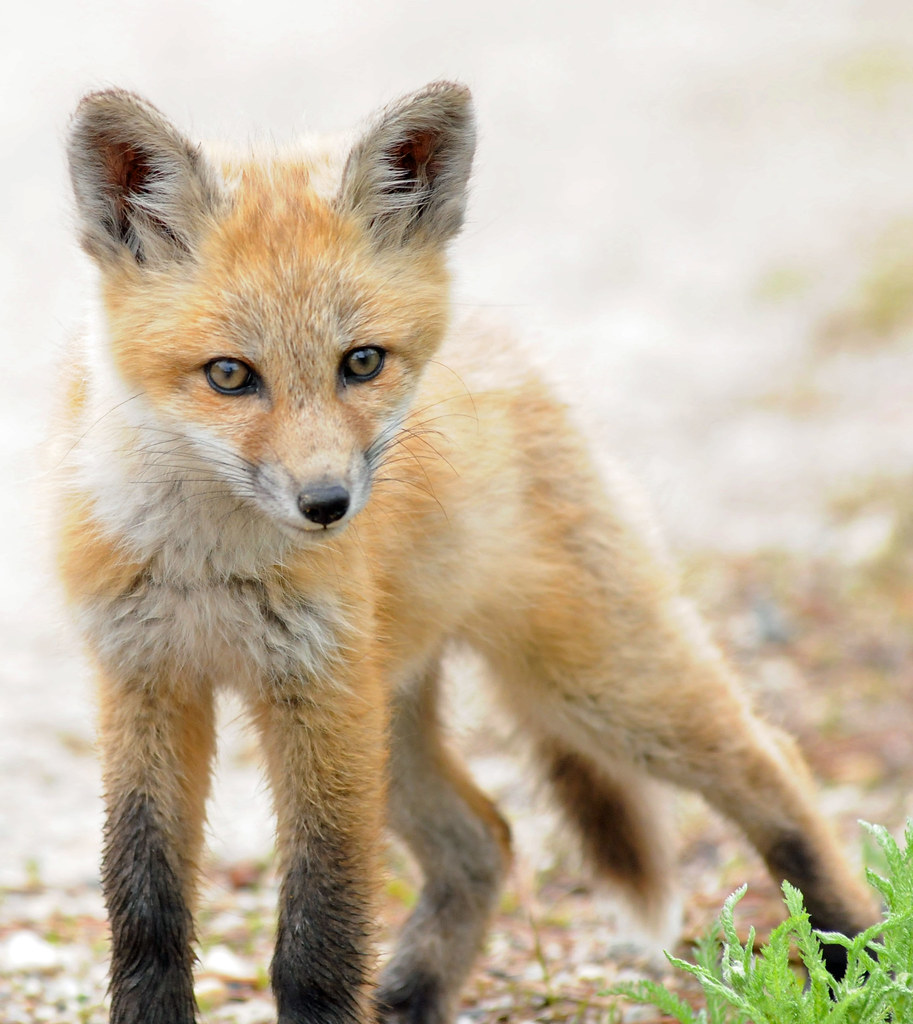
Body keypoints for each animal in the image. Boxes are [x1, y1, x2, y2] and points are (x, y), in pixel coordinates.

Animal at [56, 82, 874, 1024]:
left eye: (361, 363)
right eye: (229, 375)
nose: (328, 505)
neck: (208, 564)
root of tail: (509, 348)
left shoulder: (318, 696)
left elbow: (319, 935)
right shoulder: (147, 685)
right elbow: (145, 909)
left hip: (594, 687)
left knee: (772, 765)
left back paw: (857, 952)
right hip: (399, 721)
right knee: (484, 838)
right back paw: (414, 993)